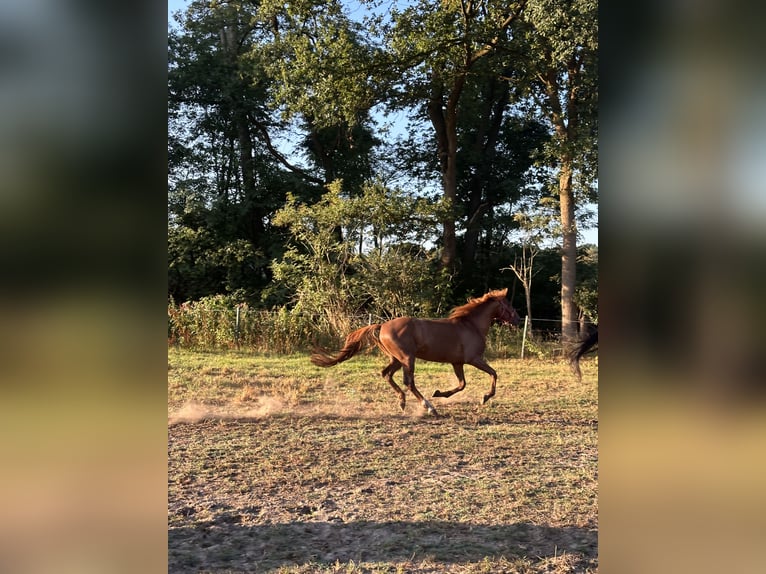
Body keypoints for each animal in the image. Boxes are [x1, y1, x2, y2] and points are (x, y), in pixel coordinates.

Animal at [310, 288, 520, 415]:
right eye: (509, 305)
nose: (518, 320)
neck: (471, 326)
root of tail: (382, 325)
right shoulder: (474, 359)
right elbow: (493, 374)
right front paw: (485, 397)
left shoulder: (457, 362)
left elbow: (462, 384)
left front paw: (439, 393)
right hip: (407, 358)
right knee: (408, 382)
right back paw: (429, 408)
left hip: (396, 359)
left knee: (386, 374)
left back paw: (402, 402)